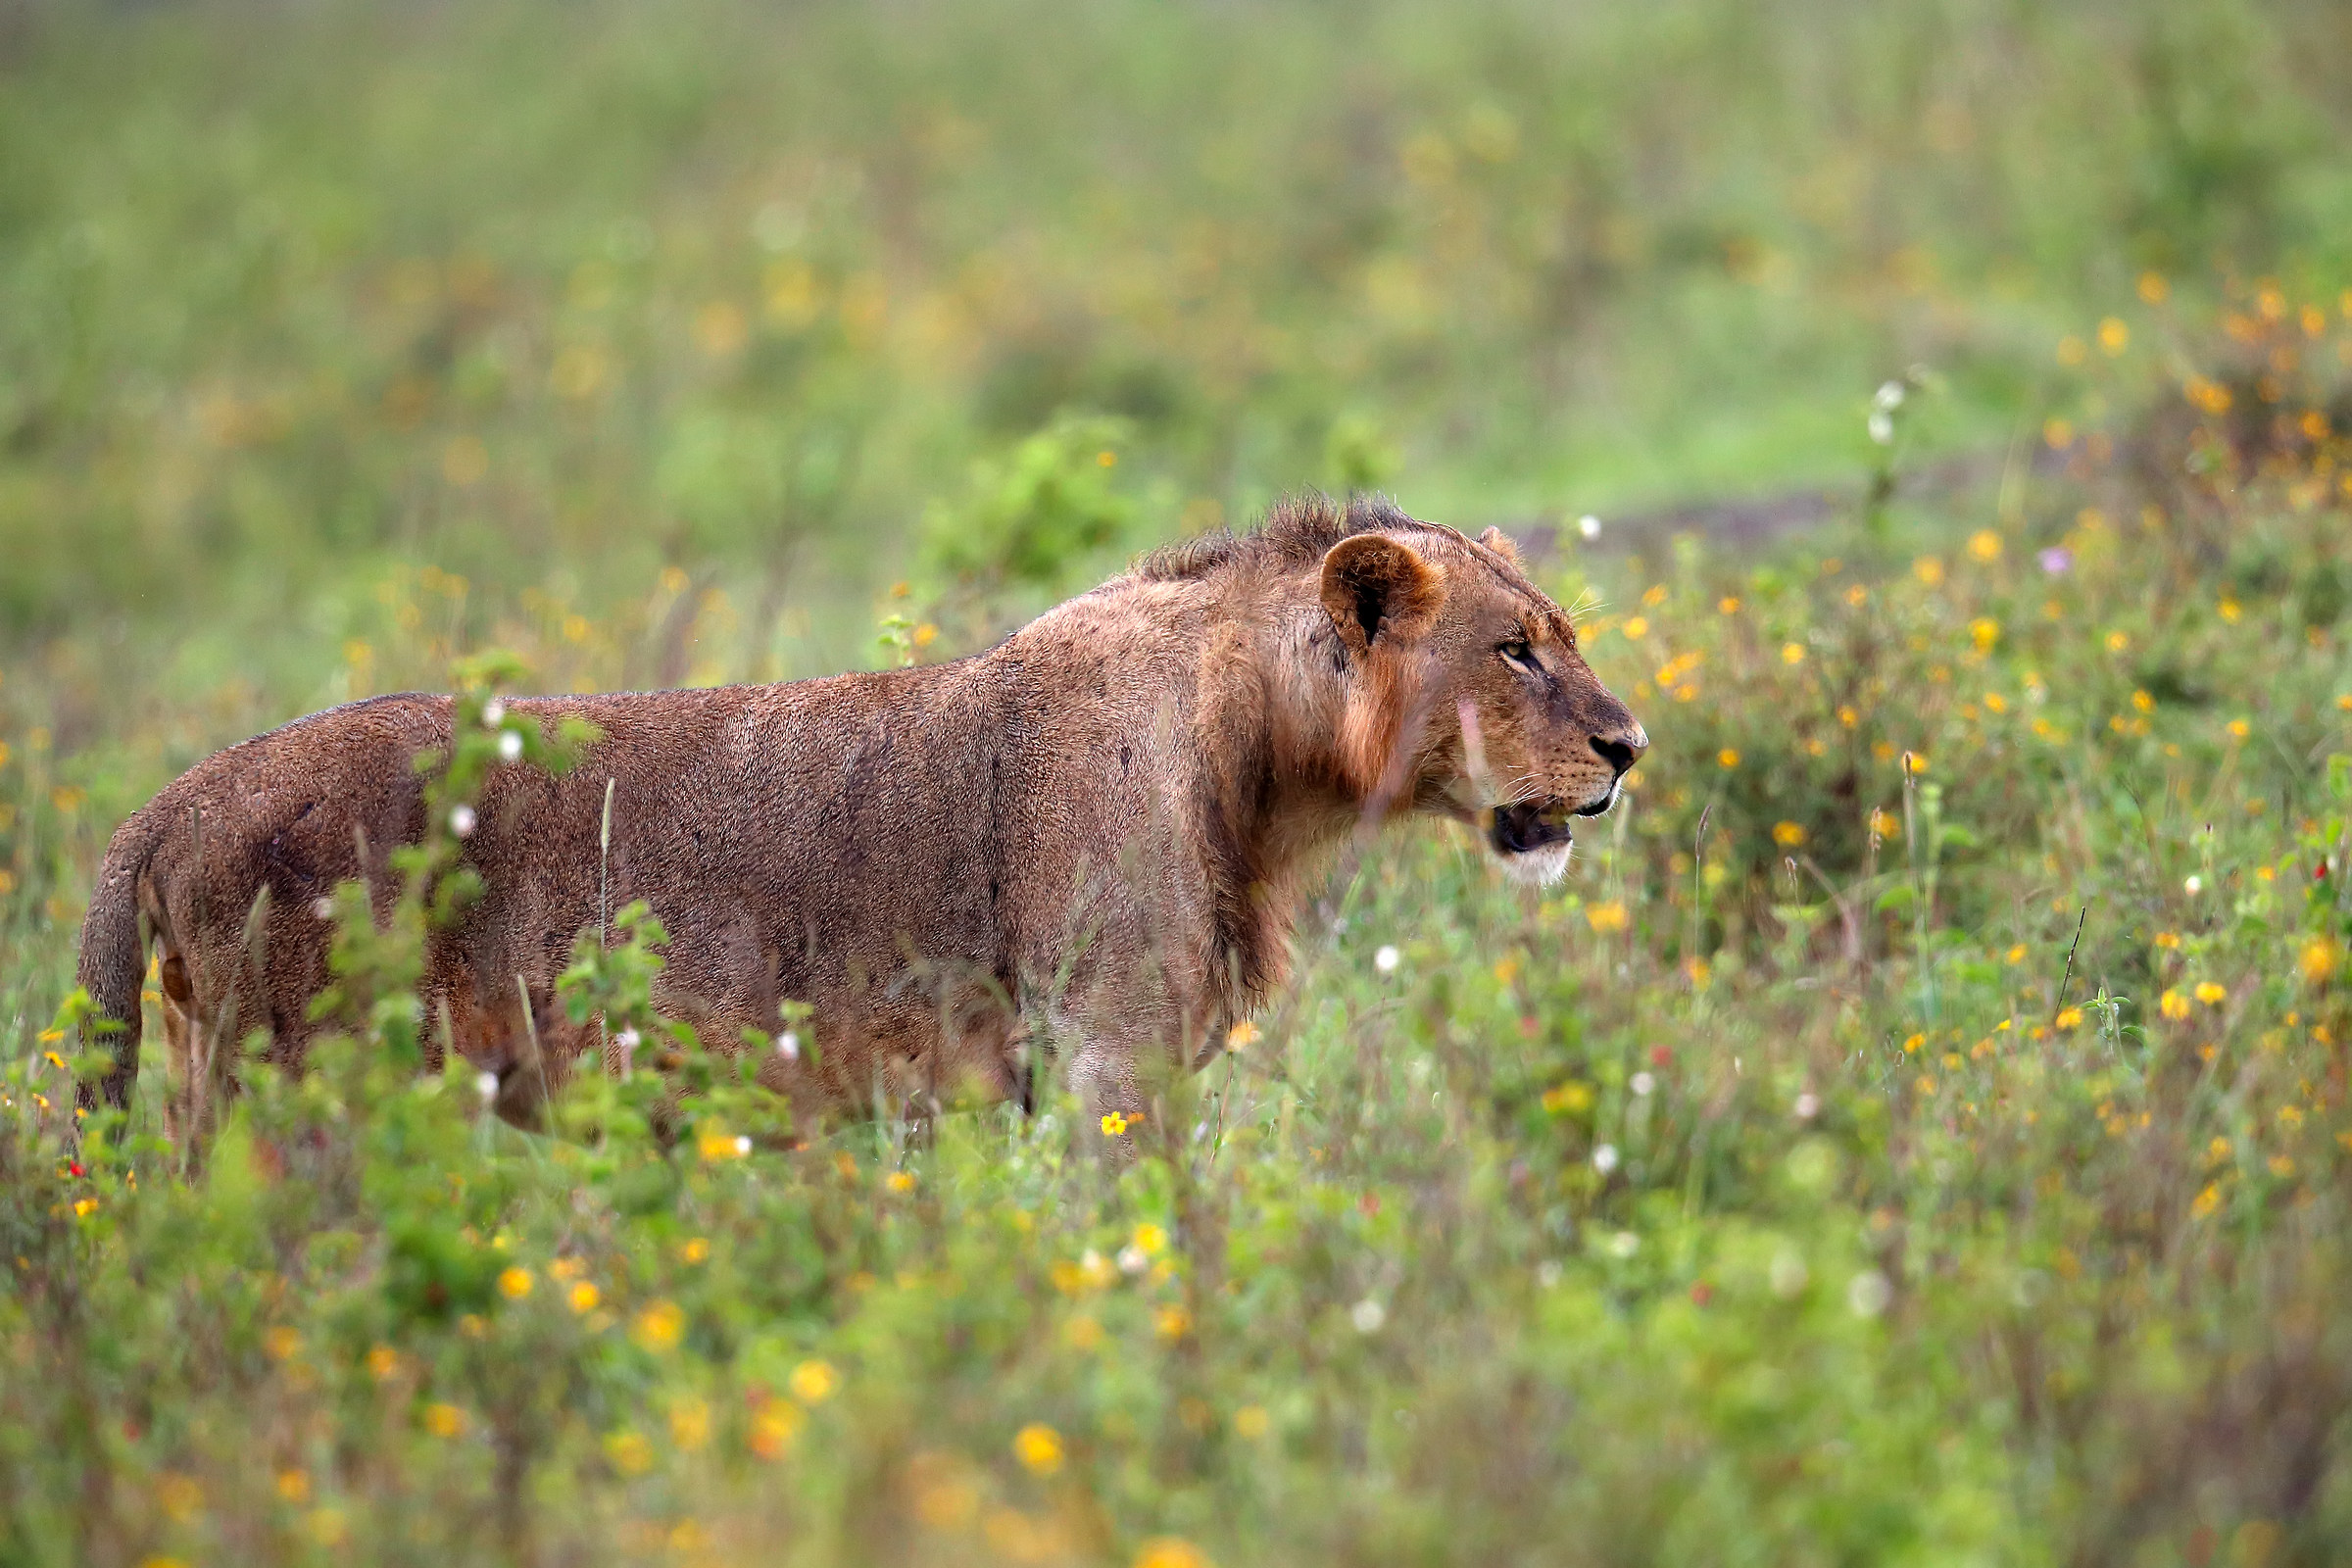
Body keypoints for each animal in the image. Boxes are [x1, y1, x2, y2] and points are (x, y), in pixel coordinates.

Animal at [77, 495, 1646, 1135]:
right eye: (1516, 650)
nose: (1630, 747)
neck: (1267, 780)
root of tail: (168, 799)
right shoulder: (1109, 1050)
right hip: (307, 1090)